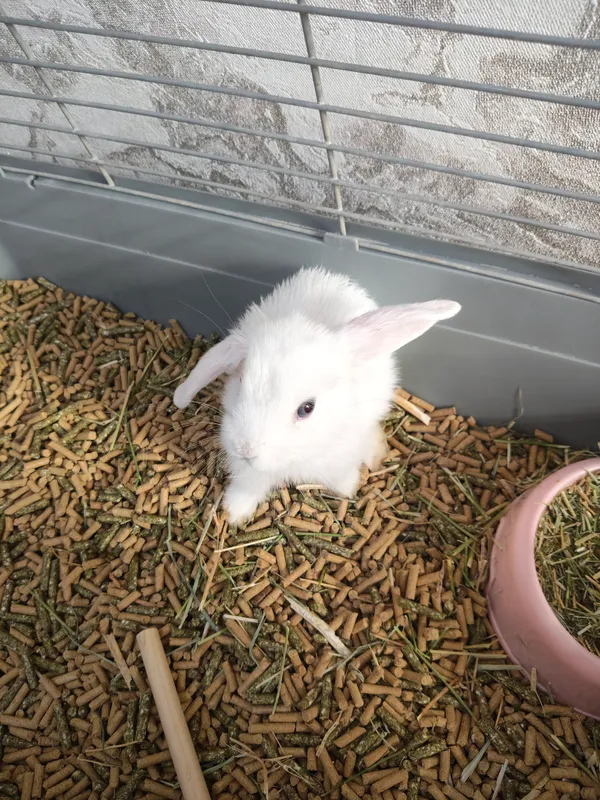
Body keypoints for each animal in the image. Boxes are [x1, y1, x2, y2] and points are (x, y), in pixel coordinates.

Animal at [174, 267, 460, 524]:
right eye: (241, 382)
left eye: (307, 408)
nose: (246, 450)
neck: (297, 455)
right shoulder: (248, 473)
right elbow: (247, 487)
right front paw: (235, 514)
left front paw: (348, 489)